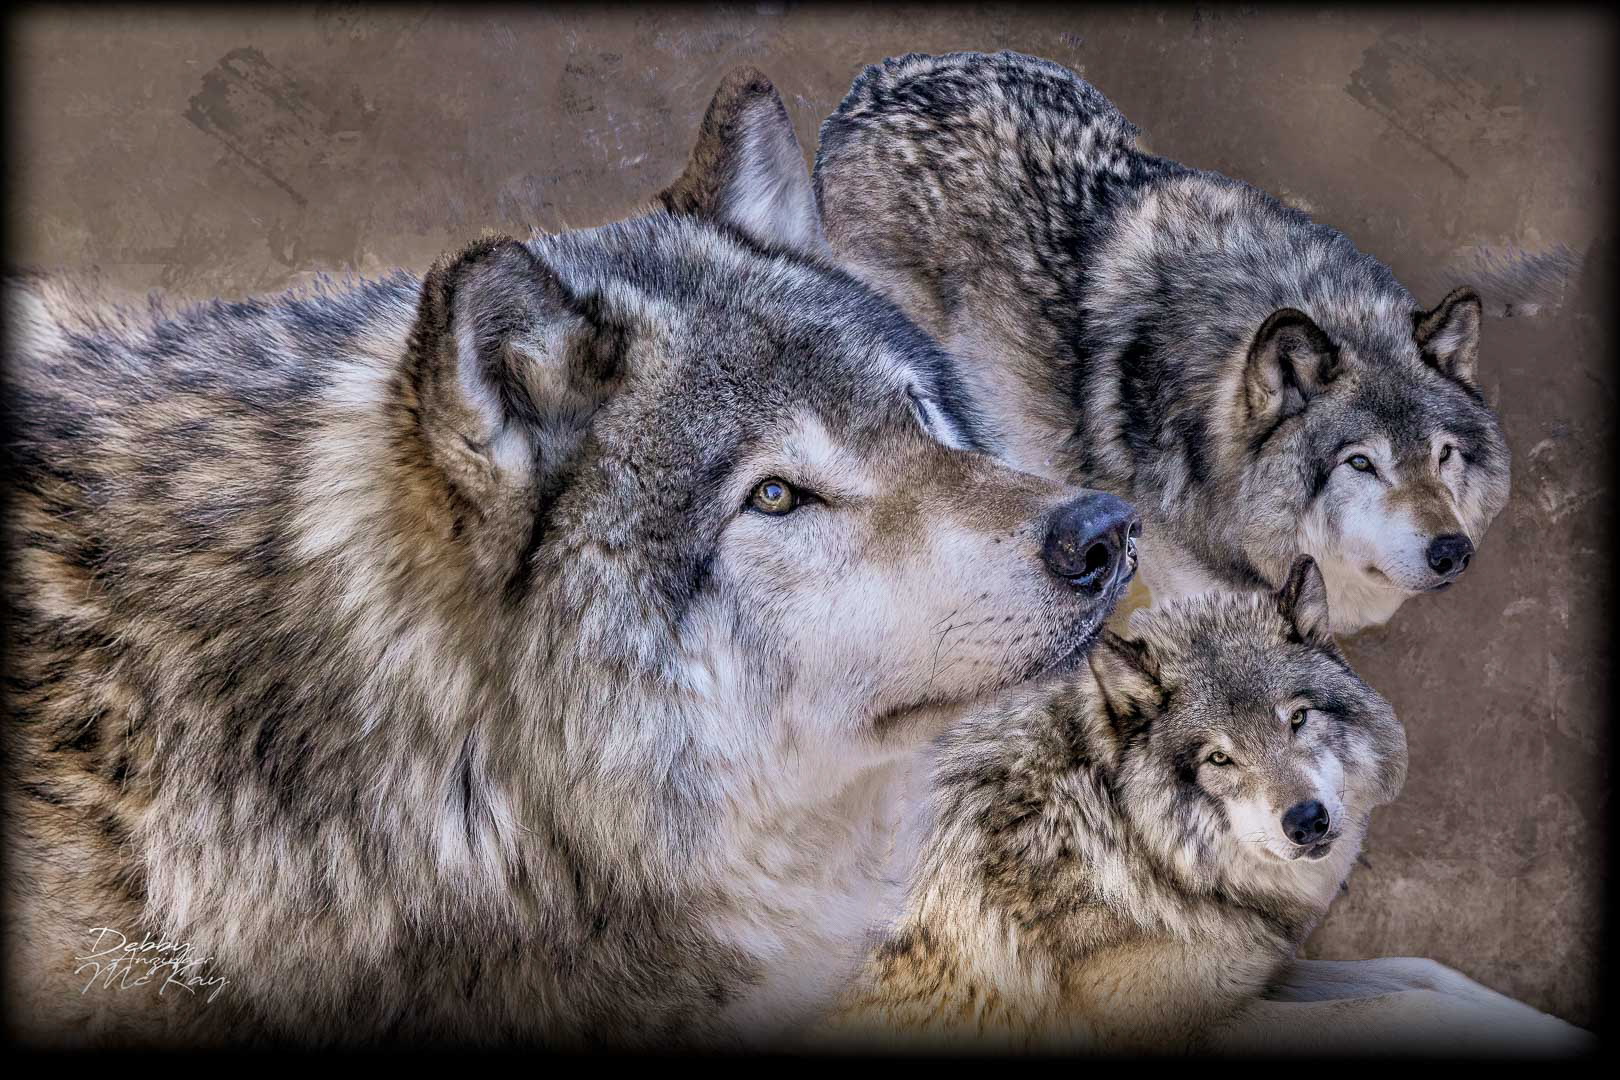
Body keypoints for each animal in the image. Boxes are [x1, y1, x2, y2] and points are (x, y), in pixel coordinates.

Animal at [822, 557, 1591, 1055]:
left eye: (1297, 719)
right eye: (1220, 758)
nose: (1307, 821)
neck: (1127, 847)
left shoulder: (1254, 973)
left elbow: (1429, 974)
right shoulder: (1194, 1027)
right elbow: (1410, 1005)